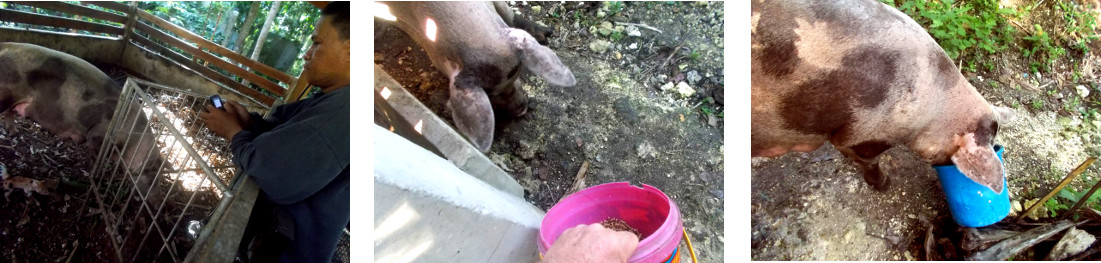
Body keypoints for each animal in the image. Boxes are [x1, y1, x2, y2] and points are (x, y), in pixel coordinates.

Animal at [0, 42, 161, 196]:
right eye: (150, 173)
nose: (155, 203)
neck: (131, 141)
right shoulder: (97, 134)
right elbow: (96, 153)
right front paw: (95, 171)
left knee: (9, 112)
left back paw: (12, 132)